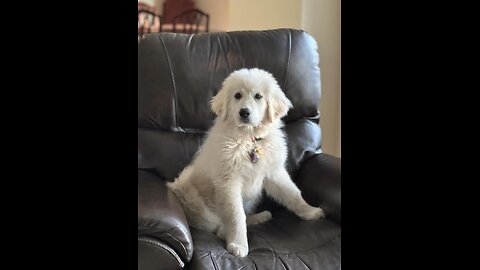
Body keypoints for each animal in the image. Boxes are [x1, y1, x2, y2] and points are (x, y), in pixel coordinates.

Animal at [167, 68, 324, 258]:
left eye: (258, 96)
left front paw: (311, 211)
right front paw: (238, 244)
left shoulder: (274, 172)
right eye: (237, 95)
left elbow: (293, 194)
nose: (244, 113)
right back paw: (230, 231)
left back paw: (261, 216)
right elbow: (236, 215)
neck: (249, 139)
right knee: (216, 226)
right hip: (187, 190)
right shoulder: (228, 182)